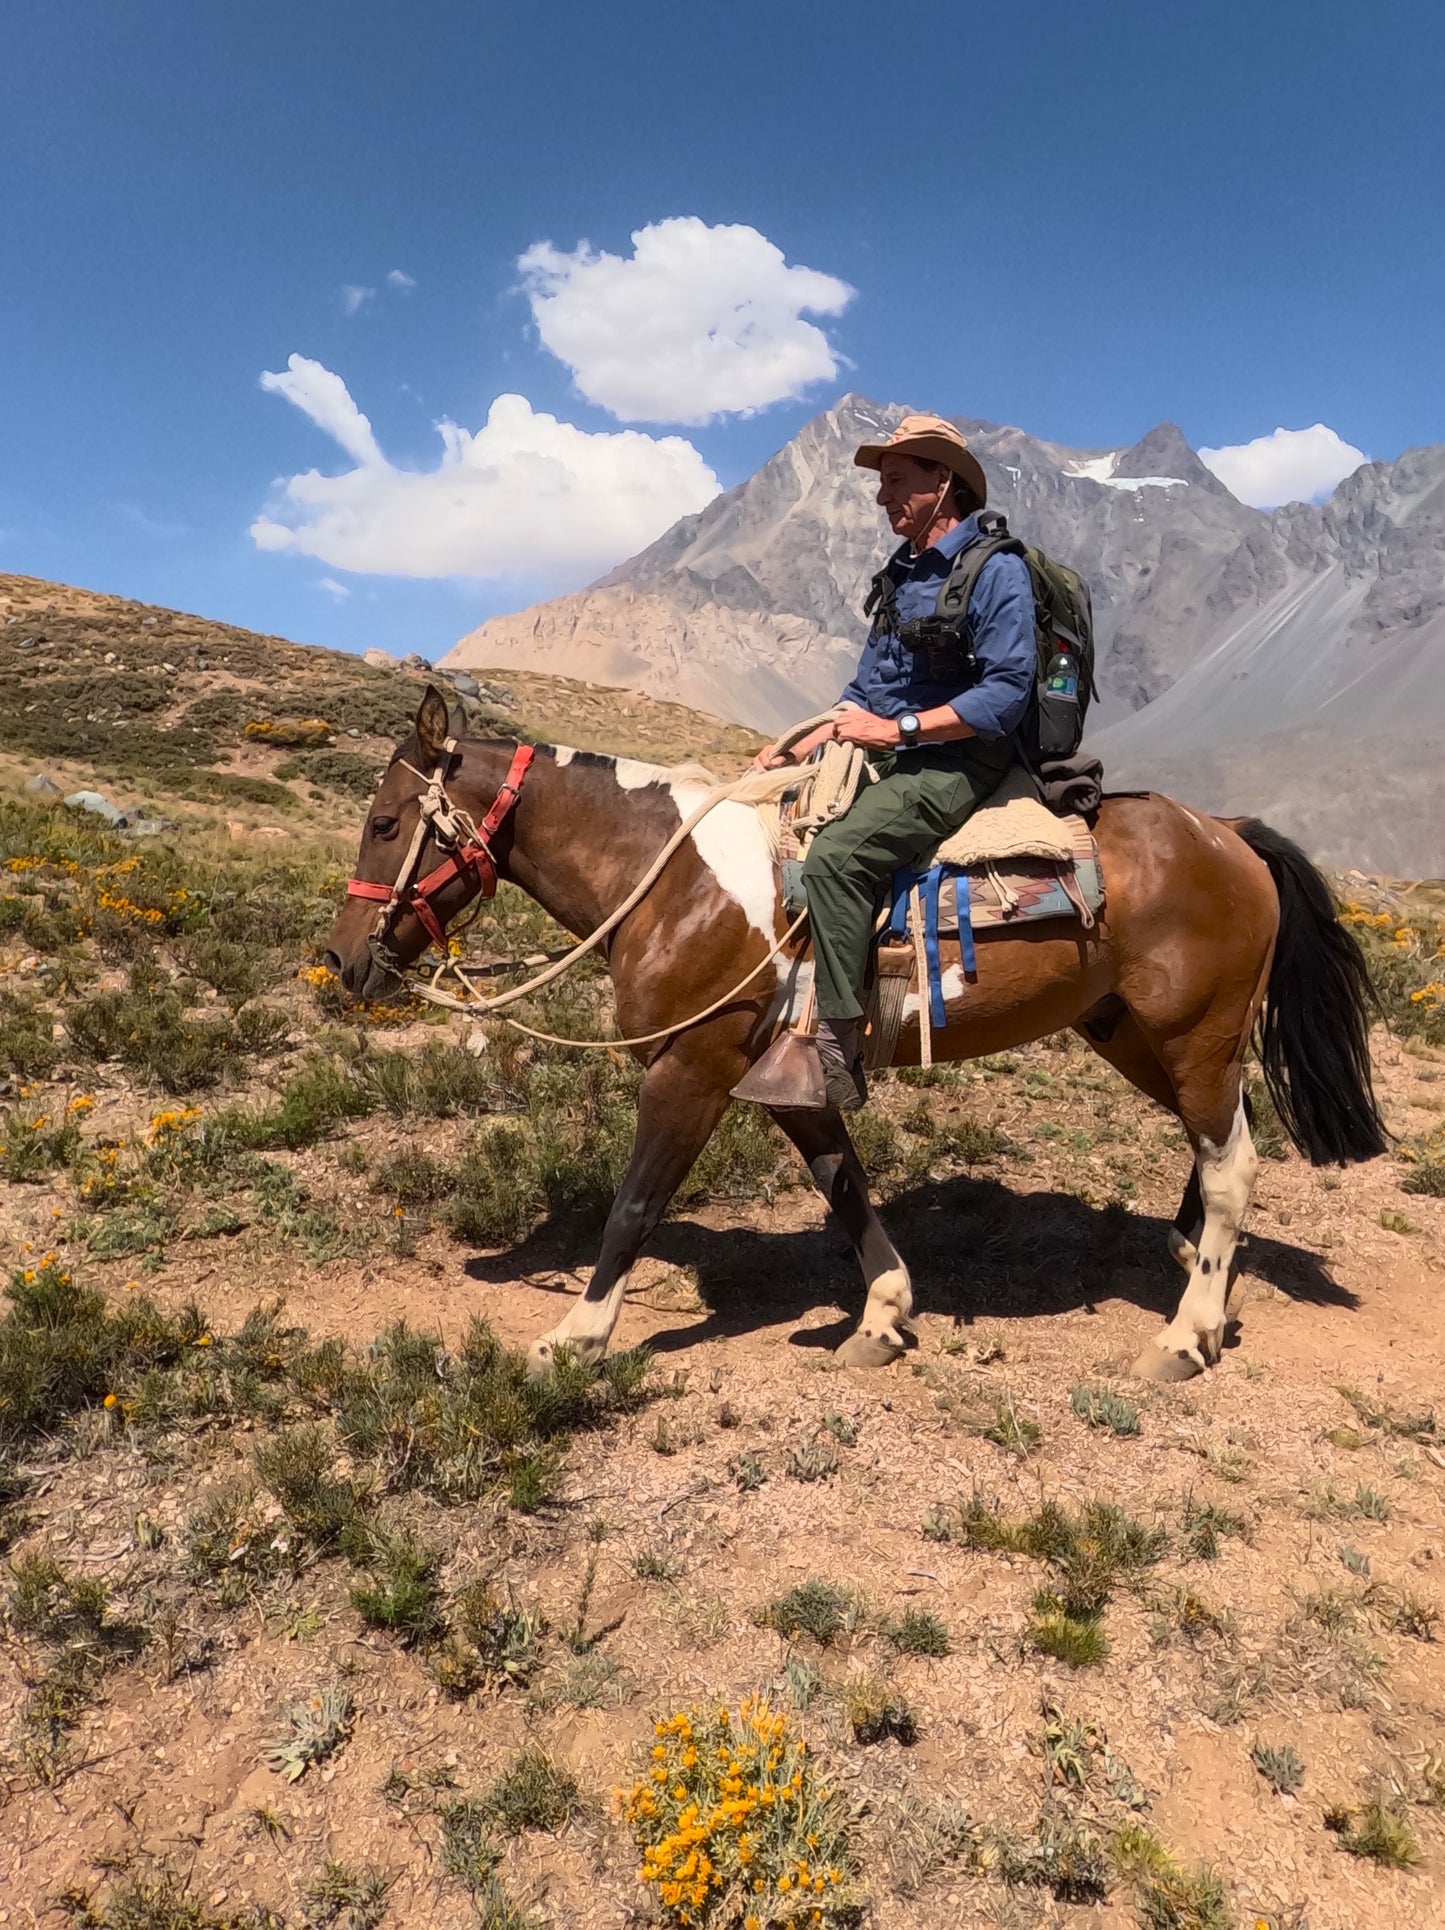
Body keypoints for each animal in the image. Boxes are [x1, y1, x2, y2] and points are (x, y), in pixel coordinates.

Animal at [324, 694, 1389, 1389]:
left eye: (383, 821)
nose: (341, 964)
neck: (673, 880)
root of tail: (1228, 833)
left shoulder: (690, 1069)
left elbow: (634, 1207)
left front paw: (573, 1339)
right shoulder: (790, 1077)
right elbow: (844, 1187)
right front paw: (883, 1313)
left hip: (1191, 1034)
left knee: (1231, 1163)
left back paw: (1185, 1334)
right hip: (1132, 1034)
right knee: (1213, 1146)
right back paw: (1198, 1273)